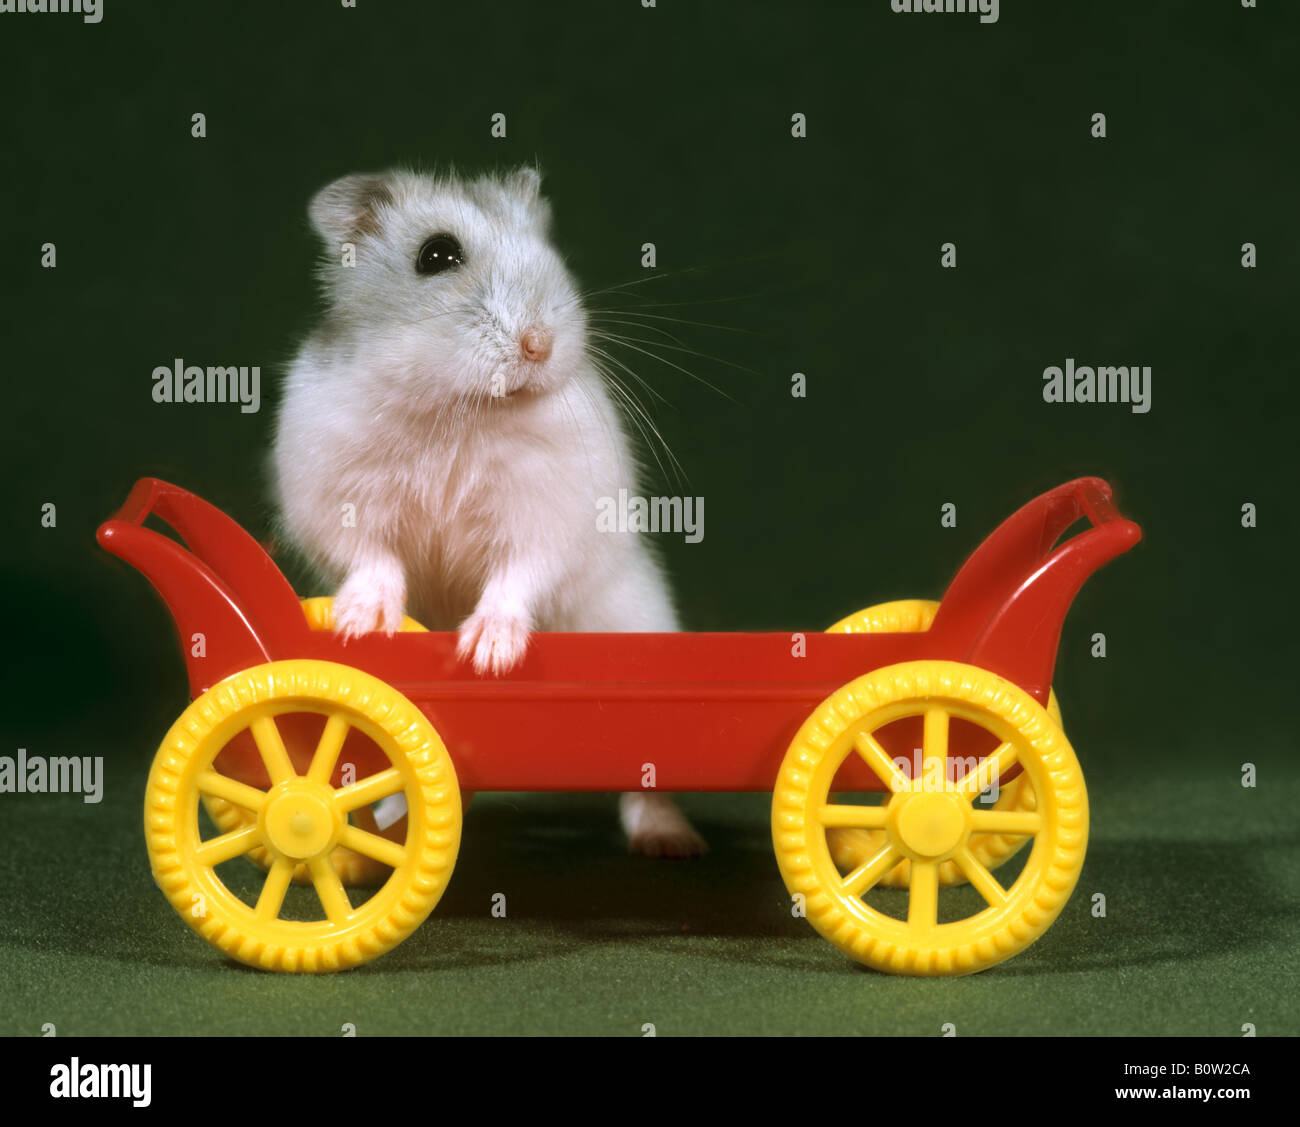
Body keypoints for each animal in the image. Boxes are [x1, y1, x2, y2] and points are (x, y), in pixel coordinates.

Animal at [271, 166, 704, 858]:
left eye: (548, 249)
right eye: (436, 256)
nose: (539, 345)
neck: (463, 406)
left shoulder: (549, 514)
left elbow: (516, 575)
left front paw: (487, 653)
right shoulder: (337, 493)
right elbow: (373, 560)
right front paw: (361, 626)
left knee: (646, 784)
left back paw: (671, 843)